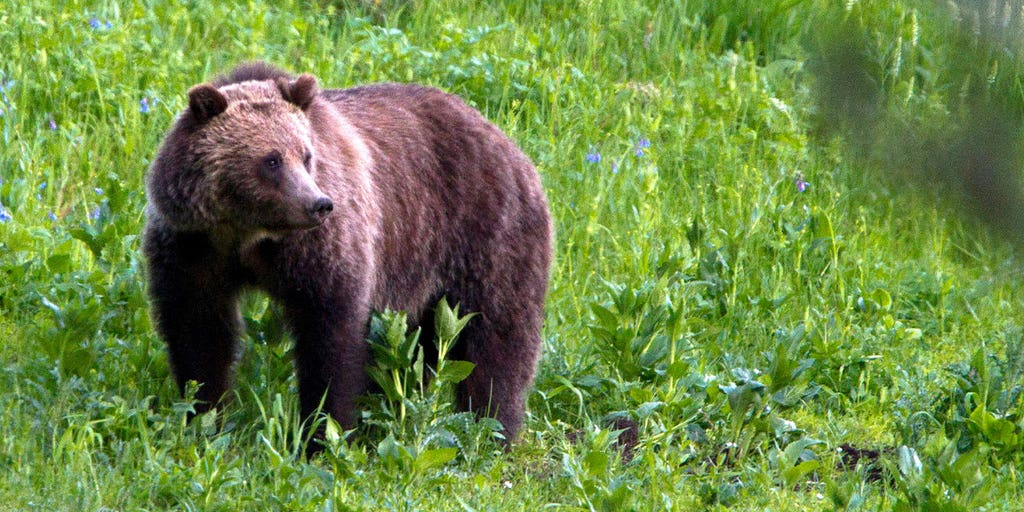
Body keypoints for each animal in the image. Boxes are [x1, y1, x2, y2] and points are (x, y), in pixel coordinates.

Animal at [143, 61, 552, 450]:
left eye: (306, 155)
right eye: (271, 160)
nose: (318, 204)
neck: (248, 235)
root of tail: (508, 142)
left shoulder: (320, 250)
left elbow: (331, 335)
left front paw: (323, 432)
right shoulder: (193, 248)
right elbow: (199, 331)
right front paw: (204, 416)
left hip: (484, 234)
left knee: (496, 337)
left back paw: (492, 428)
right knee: (419, 348)